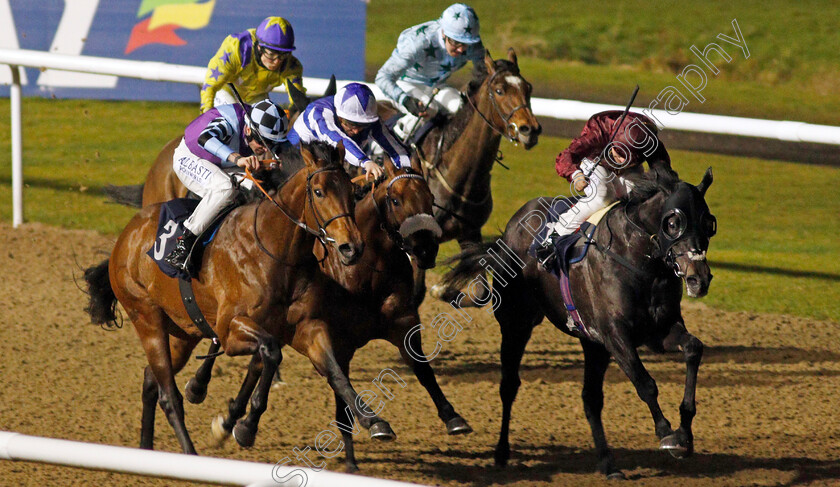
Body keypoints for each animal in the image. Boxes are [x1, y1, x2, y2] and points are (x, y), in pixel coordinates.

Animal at [84, 143, 404, 456]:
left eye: (352, 191)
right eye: (319, 191)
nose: (352, 247)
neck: (276, 249)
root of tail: (126, 235)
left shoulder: (305, 327)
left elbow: (335, 371)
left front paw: (374, 421)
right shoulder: (230, 330)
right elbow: (270, 352)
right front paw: (245, 425)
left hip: (182, 333)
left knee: (151, 379)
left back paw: (146, 449)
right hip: (147, 320)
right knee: (168, 395)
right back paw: (189, 452)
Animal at [440, 166, 716, 478]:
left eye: (708, 223)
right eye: (673, 223)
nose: (698, 278)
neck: (639, 263)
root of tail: (510, 230)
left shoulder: (657, 332)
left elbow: (693, 348)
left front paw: (685, 432)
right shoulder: (615, 335)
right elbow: (645, 383)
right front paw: (668, 434)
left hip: (590, 343)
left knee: (591, 399)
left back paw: (609, 464)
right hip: (516, 324)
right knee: (509, 385)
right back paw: (501, 452)